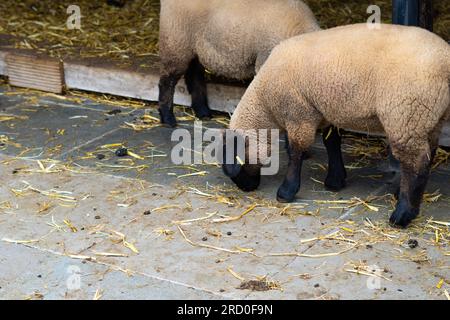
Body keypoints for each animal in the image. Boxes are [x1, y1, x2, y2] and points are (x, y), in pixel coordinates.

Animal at [158, 0, 320, 127]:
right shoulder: (265, 61)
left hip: (195, 46)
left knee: (194, 74)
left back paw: (202, 111)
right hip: (176, 40)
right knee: (167, 81)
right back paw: (168, 118)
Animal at [222, 23, 450, 228]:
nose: (246, 188)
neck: (265, 103)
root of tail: (445, 58)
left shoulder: (299, 113)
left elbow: (296, 152)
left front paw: (286, 191)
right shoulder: (324, 110)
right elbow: (331, 143)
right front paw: (335, 180)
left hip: (406, 115)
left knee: (416, 163)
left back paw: (403, 214)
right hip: (428, 117)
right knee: (427, 155)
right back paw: (403, 196)